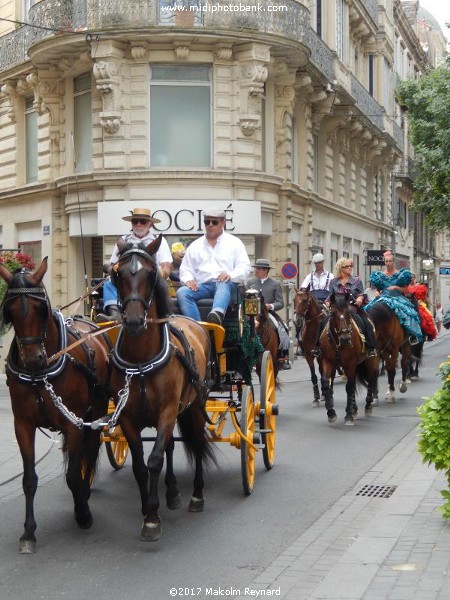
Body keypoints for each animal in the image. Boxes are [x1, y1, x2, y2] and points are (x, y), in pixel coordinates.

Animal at [0, 258, 111, 552]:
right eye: (10, 312)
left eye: (41, 309)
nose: (33, 359)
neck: (41, 374)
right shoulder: (22, 425)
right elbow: (29, 479)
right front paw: (28, 532)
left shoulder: (73, 423)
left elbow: (72, 474)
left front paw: (83, 513)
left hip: (96, 411)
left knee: (90, 450)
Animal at [109, 237, 214, 540]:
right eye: (117, 273)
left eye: (150, 273)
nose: (133, 321)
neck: (141, 360)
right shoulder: (127, 417)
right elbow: (140, 465)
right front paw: (147, 507)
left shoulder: (168, 410)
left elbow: (154, 459)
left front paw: (153, 518)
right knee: (169, 445)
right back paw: (173, 492)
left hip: (194, 405)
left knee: (197, 442)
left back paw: (196, 495)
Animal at [318, 292, 378, 424]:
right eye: (333, 313)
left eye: (348, 312)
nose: (345, 338)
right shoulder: (328, 361)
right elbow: (325, 382)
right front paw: (331, 412)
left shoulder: (350, 363)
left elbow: (349, 387)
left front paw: (349, 415)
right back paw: (355, 409)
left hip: (371, 361)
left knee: (370, 379)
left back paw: (367, 405)